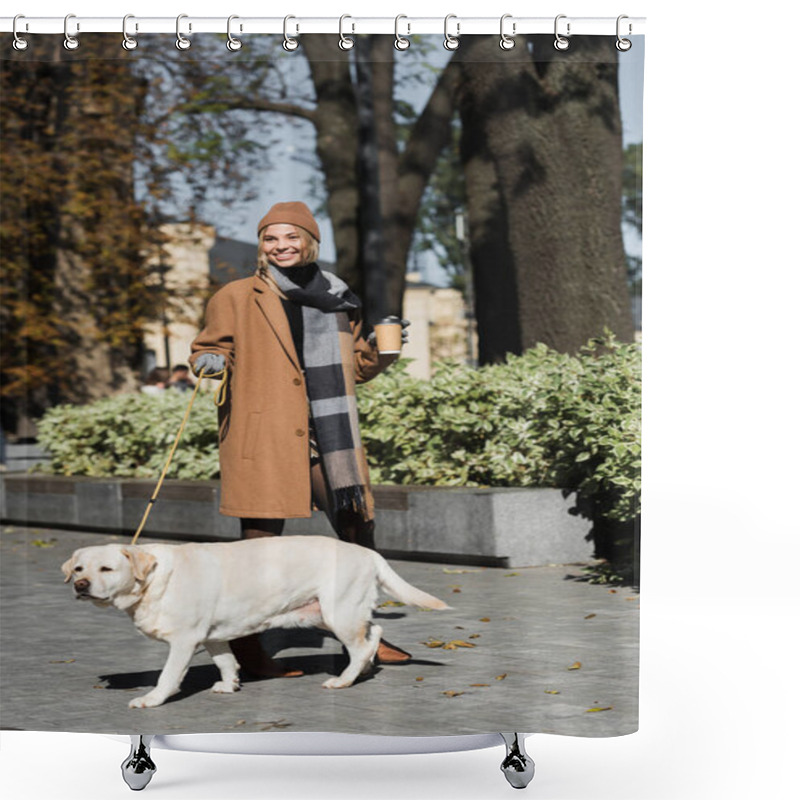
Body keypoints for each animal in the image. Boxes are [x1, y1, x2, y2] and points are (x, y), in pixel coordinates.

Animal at [61, 536, 450, 708]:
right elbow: (225, 661)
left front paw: (153, 698)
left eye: (106, 568)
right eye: (79, 568)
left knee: (361, 645)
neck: (154, 579)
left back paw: (344, 680)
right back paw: (365, 669)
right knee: (374, 633)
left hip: (338, 612)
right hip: (327, 614)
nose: (80, 585)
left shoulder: (184, 640)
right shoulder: (211, 636)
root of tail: (368, 551)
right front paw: (229, 684)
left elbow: (169, 675)